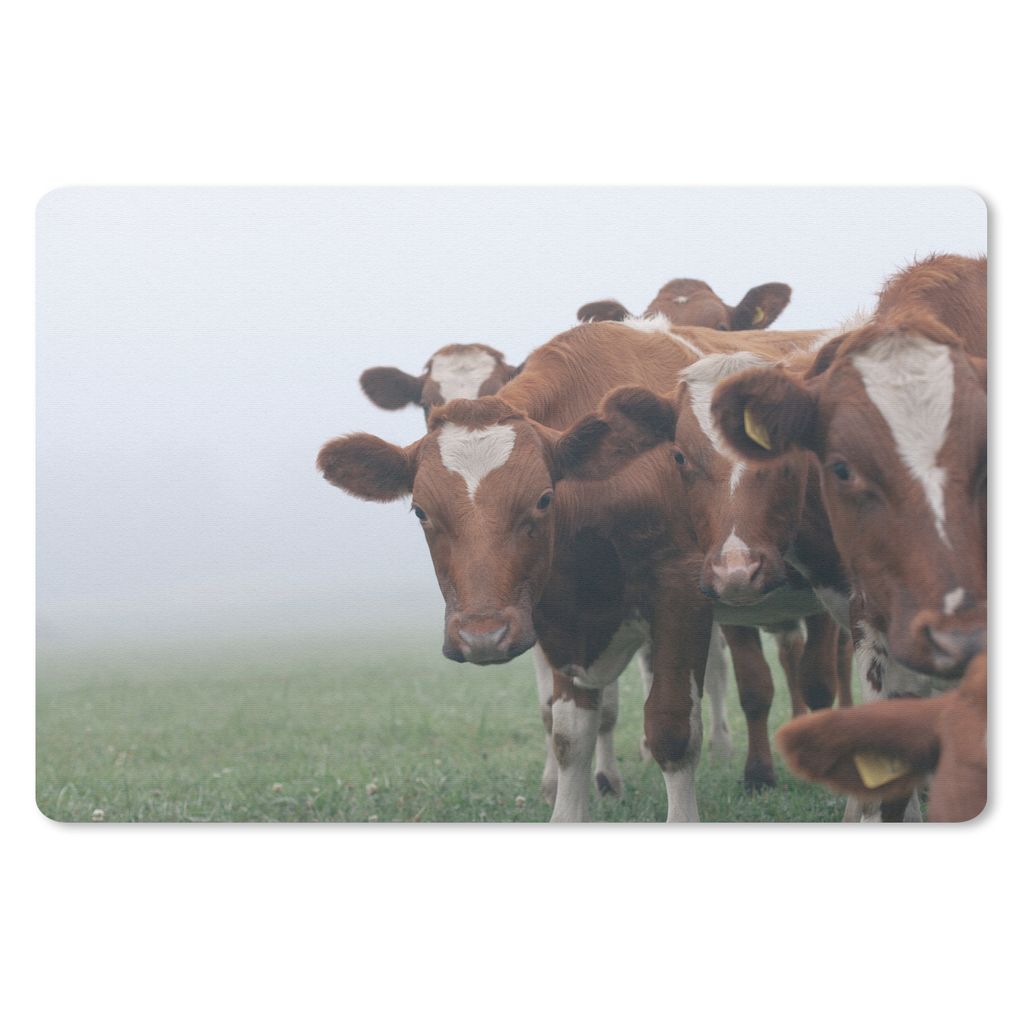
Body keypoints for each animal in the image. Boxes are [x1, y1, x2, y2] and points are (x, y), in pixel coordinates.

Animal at [321, 316, 824, 820]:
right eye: (421, 511)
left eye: (544, 499)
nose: (482, 636)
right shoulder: (557, 615)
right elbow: (569, 731)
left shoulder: (681, 595)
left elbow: (672, 727)